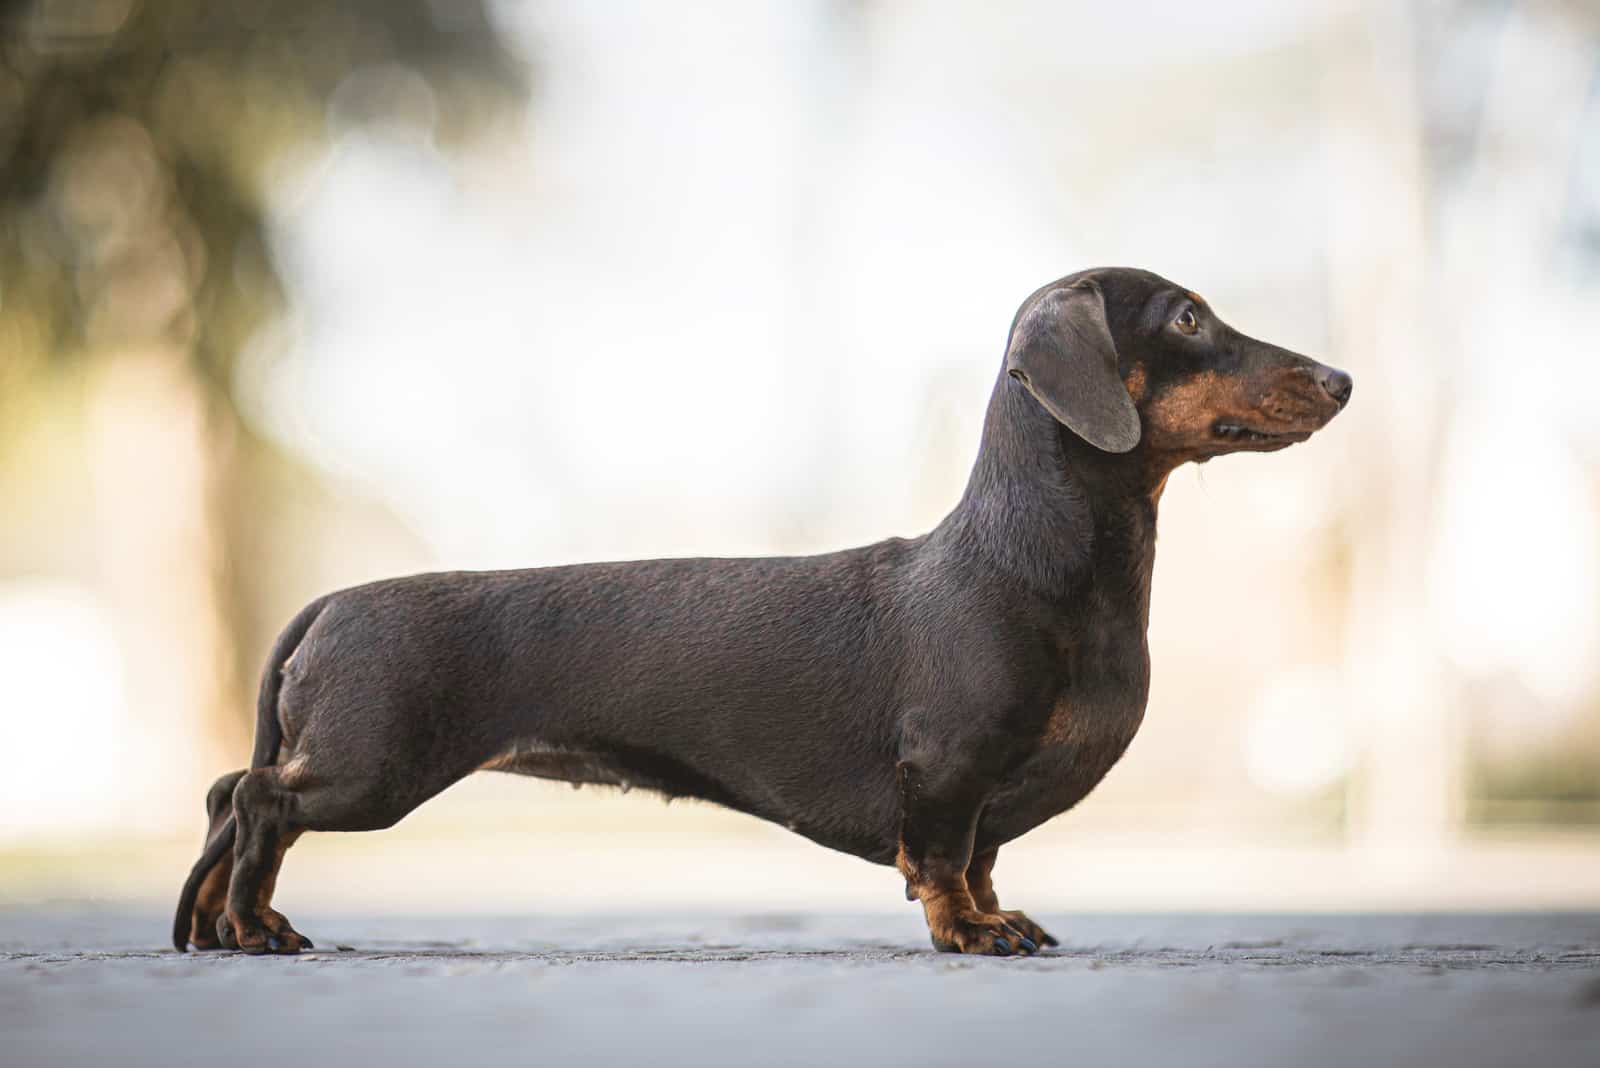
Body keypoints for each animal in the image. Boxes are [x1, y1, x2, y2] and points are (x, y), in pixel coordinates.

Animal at [175, 267, 1350, 959]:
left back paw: (233, 923)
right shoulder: (949, 768)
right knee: (259, 802)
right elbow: (944, 862)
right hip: (372, 769)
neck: (1033, 565)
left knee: (235, 800)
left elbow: (983, 858)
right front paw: (970, 934)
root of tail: (330, 602)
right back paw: (251, 925)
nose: (1340, 379)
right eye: (1188, 317)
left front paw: (997, 915)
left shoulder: (985, 793)